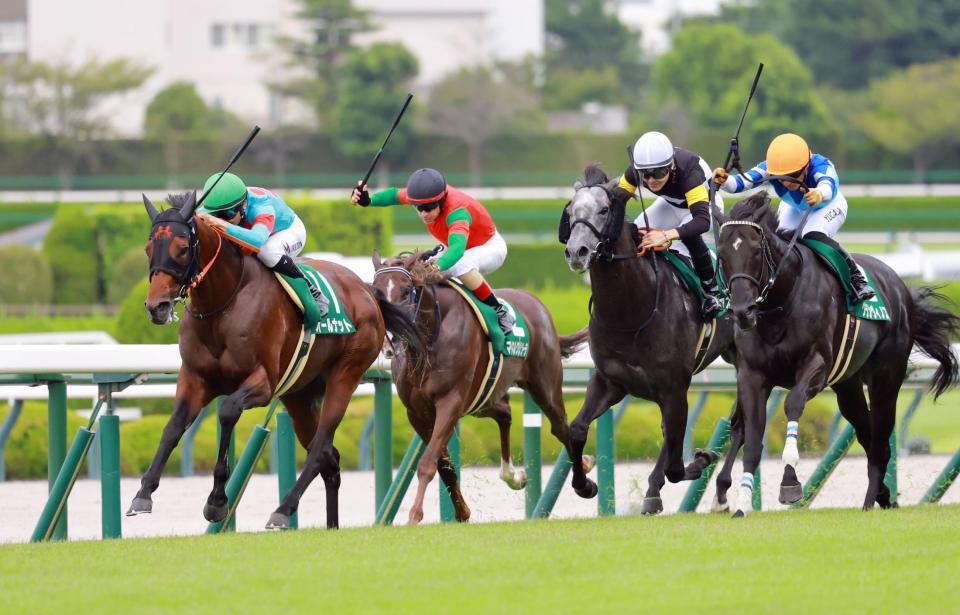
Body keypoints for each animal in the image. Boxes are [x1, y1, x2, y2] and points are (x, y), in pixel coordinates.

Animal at [130, 191, 426, 530]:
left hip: (345, 376)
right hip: (299, 395)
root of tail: (366, 289)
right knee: (330, 459)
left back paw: (283, 510)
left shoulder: (263, 383)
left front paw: (217, 500)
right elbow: (173, 427)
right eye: (148, 248)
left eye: (181, 248)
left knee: (321, 448)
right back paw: (330, 525)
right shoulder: (195, 378)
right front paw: (143, 493)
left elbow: (228, 411)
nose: (157, 306)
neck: (223, 304)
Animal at [371, 251, 590, 524]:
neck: (428, 341)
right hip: (482, 398)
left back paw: (584, 479)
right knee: (505, 413)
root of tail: (536, 303)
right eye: (376, 291)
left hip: (545, 386)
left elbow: (428, 462)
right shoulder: (418, 413)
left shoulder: (451, 401)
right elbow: (444, 465)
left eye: (406, 290)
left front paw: (414, 515)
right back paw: (512, 475)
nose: (391, 342)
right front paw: (462, 512)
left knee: (561, 428)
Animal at [560, 164, 738, 513]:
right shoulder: (610, 381)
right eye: (571, 212)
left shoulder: (673, 387)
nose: (577, 252)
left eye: (604, 210)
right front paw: (584, 484)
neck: (631, 311)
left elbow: (676, 464)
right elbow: (576, 429)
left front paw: (701, 458)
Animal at [717, 191, 959, 515]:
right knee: (867, 433)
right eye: (721, 255)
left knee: (880, 442)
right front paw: (741, 504)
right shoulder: (752, 376)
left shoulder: (817, 366)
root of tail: (900, 288)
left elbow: (793, 404)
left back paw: (869, 502)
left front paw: (790, 483)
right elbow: (752, 438)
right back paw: (883, 496)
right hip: (848, 385)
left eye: (756, 251)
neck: (781, 302)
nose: (742, 312)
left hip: (886, 379)